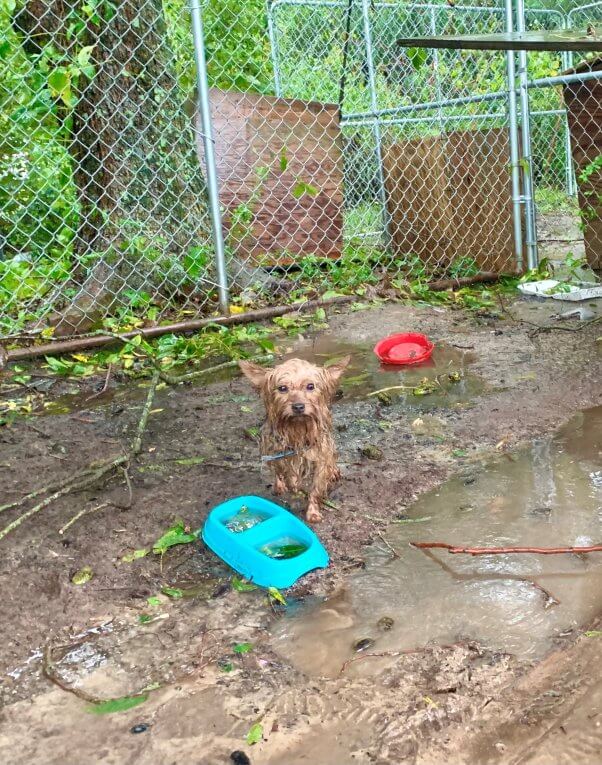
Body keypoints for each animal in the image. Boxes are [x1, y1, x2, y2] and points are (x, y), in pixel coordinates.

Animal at [239, 356, 350, 524]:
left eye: (310, 386)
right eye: (282, 388)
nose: (298, 406)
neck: (298, 428)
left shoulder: (320, 456)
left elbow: (316, 487)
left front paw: (312, 512)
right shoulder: (279, 453)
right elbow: (288, 475)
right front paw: (292, 485)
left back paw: (333, 471)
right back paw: (280, 486)